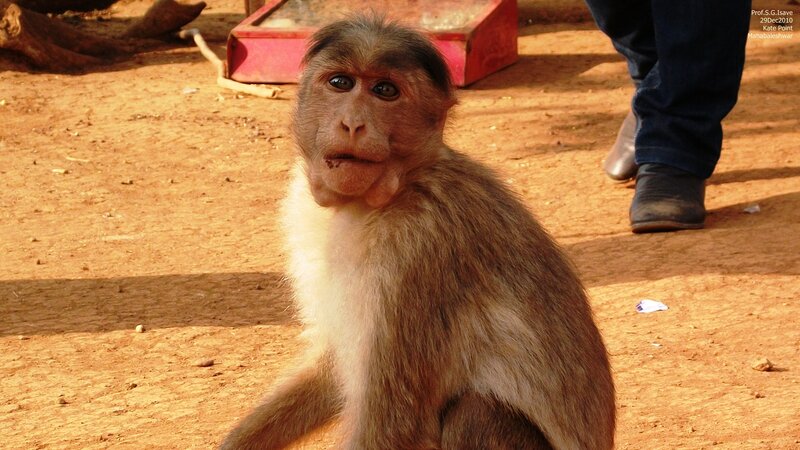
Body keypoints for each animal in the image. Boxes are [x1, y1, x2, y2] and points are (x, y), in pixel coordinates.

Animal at [220, 15, 615, 450]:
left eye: (385, 91)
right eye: (340, 83)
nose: (352, 123)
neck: (382, 197)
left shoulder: (419, 246)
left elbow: (393, 424)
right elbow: (331, 364)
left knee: (474, 413)